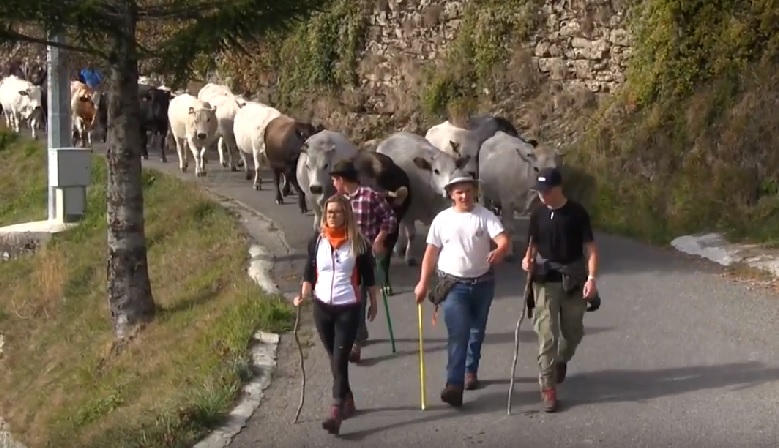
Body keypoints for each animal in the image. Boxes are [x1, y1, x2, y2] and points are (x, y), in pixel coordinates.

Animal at [376, 133, 470, 266]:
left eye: (455, 170)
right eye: (436, 171)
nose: (448, 190)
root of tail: (395, 135)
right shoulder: (410, 214)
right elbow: (412, 235)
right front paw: (409, 257)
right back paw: (399, 247)